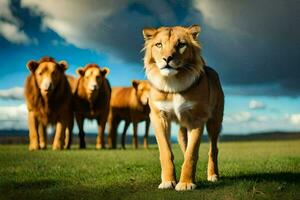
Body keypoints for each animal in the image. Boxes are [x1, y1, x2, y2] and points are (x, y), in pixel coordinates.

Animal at [142, 25, 223, 191]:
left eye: (181, 45)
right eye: (159, 44)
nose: (167, 59)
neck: (173, 83)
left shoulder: (197, 118)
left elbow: (191, 154)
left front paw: (185, 183)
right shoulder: (158, 116)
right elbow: (166, 152)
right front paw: (168, 181)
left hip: (214, 122)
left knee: (213, 149)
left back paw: (213, 175)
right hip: (181, 130)